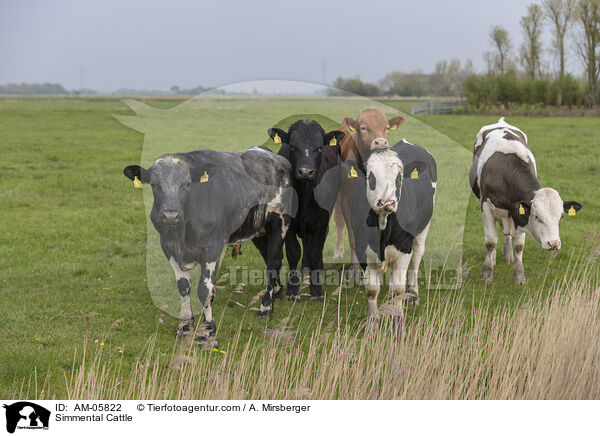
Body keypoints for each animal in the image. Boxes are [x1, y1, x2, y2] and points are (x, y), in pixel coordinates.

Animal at [268, 121, 344, 302]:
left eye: (319, 148)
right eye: (293, 146)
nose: (305, 172)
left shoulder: (321, 221)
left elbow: (314, 252)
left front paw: (316, 290)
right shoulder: (288, 221)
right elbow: (294, 252)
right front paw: (292, 290)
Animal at [330, 108, 406, 272]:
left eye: (387, 127)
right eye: (363, 127)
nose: (381, 142)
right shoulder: (347, 200)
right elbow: (352, 236)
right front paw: (354, 268)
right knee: (339, 220)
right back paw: (338, 252)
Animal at [352, 140, 436, 334]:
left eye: (399, 178)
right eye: (371, 177)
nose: (386, 202)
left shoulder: (404, 248)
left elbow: (399, 288)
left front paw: (398, 324)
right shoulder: (362, 249)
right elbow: (371, 290)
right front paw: (373, 323)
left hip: (422, 232)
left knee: (416, 260)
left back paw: (413, 294)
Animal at [468, 117, 580, 284]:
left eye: (561, 216)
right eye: (536, 216)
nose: (553, 244)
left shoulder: (520, 214)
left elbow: (519, 246)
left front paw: (519, 276)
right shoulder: (486, 206)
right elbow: (490, 241)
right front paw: (486, 274)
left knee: (507, 235)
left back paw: (507, 255)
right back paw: (493, 258)